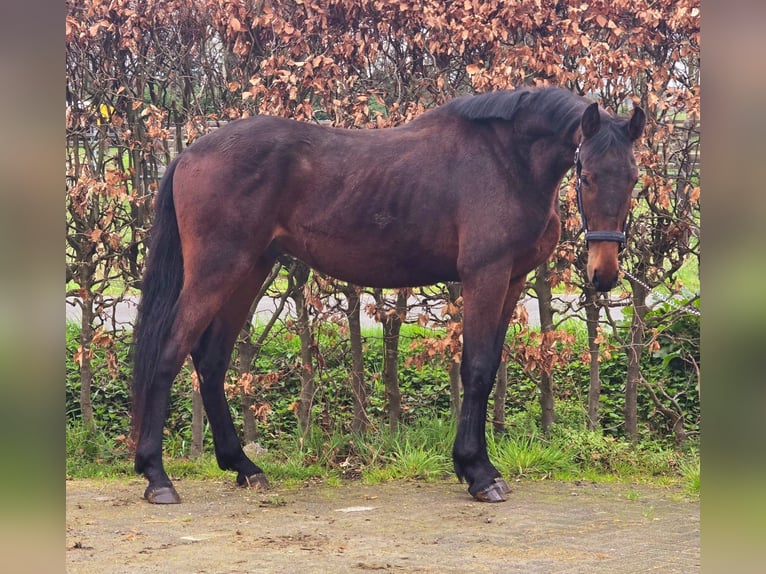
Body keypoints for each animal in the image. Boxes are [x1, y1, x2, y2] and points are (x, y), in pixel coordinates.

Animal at [132, 86, 645, 504]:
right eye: (586, 175)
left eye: (633, 177)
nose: (603, 274)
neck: (506, 161)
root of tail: (189, 154)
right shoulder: (486, 276)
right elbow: (477, 368)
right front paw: (478, 473)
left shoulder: (512, 279)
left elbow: (488, 365)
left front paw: (476, 467)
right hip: (218, 270)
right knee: (171, 351)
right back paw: (157, 477)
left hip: (250, 269)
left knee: (211, 359)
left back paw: (243, 466)